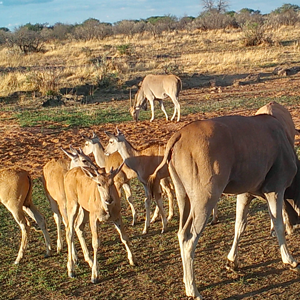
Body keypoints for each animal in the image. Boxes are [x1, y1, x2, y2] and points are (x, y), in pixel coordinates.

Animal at [149, 102, 300, 298]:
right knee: (189, 238)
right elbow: (279, 224)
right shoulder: (276, 189)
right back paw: (192, 289)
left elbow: (239, 225)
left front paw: (232, 262)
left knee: (181, 232)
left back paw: (186, 281)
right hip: (206, 198)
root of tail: (179, 134)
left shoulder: (245, 194)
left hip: (184, 197)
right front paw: (289, 260)